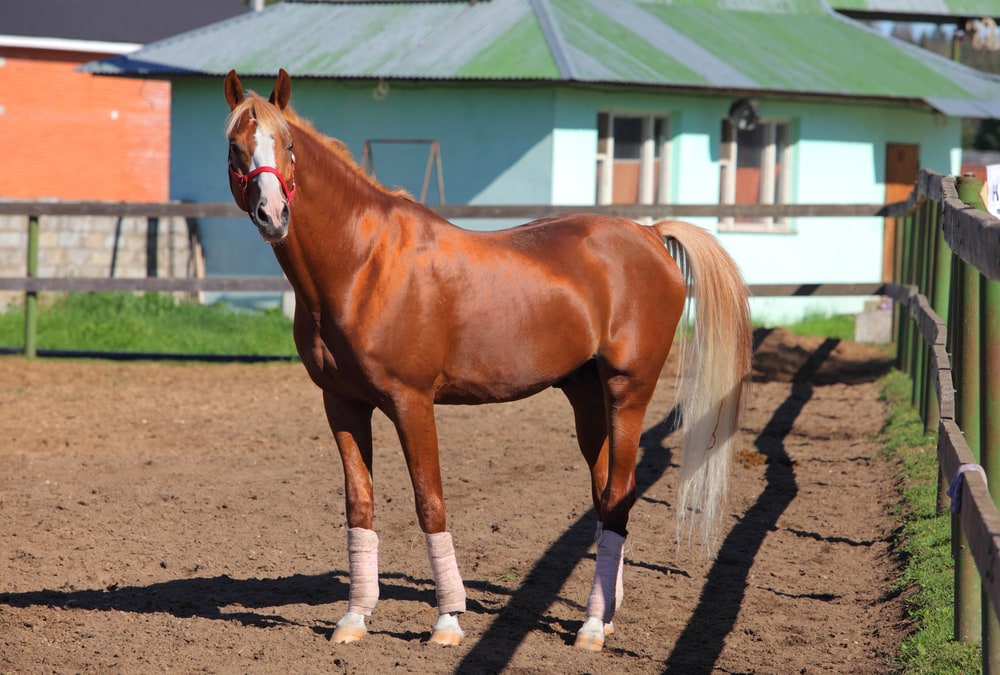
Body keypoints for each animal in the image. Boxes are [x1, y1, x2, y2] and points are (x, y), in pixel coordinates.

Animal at [223, 68, 752, 652]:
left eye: (289, 146)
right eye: (235, 147)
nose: (273, 215)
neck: (364, 264)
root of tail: (650, 235)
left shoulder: (411, 402)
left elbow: (429, 501)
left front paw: (448, 620)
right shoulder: (342, 404)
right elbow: (359, 504)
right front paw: (355, 617)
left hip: (627, 392)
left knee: (617, 496)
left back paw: (592, 627)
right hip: (587, 399)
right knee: (607, 495)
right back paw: (605, 614)